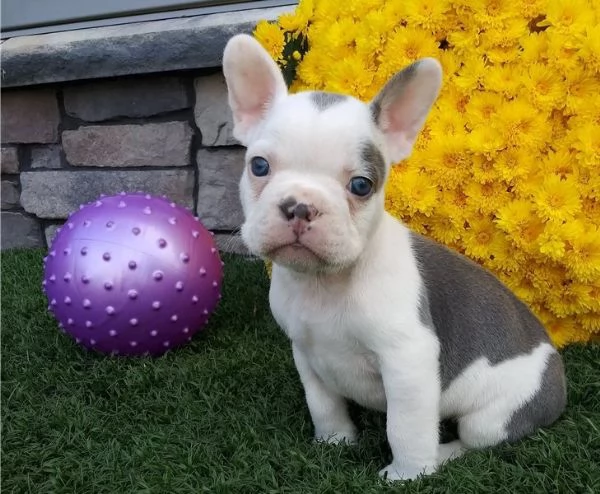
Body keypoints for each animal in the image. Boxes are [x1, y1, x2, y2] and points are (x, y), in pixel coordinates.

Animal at [221, 32, 568, 480]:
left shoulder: (408, 362)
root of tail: (556, 371)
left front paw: (408, 473)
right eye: (259, 166)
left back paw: (440, 456)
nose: (300, 206)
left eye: (361, 185)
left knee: (476, 439)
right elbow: (324, 405)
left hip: (493, 416)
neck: (324, 282)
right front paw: (334, 441)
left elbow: (405, 426)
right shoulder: (306, 352)